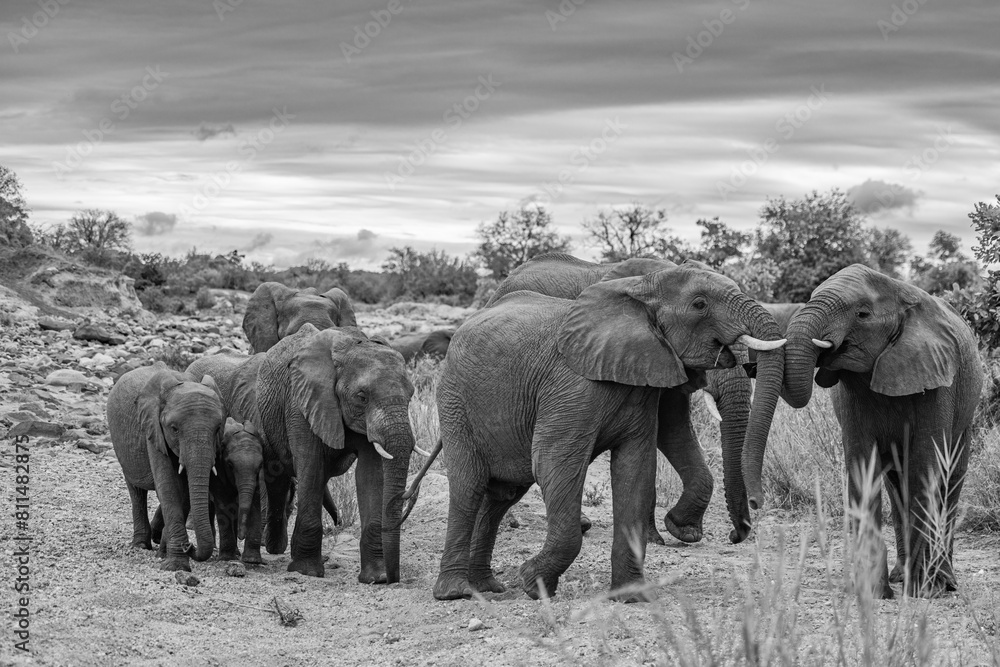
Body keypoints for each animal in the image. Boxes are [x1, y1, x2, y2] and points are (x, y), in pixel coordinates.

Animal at [108, 363, 227, 571]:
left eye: (218, 429)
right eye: (174, 429)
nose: (190, 546)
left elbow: (184, 491)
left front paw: (165, 554)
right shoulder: (152, 429)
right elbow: (168, 485)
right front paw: (177, 565)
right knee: (136, 491)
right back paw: (140, 545)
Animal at [253, 324, 418, 582]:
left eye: (411, 395)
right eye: (362, 397)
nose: (394, 578)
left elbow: (370, 475)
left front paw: (376, 577)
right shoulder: (301, 402)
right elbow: (311, 466)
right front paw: (306, 571)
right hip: (264, 415)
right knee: (278, 479)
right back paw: (274, 549)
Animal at [434, 264, 785, 601]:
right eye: (700, 304)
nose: (741, 528)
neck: (641, 285)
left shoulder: (645, 381)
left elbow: (636, 469)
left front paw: (631, 596)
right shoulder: (570, 386)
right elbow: (554, 463)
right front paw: (532, 584)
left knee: (502, 494)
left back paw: (486, 587)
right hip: (455, 401)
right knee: (468, 486)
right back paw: (455, 592)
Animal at [744, 264, 984, 598]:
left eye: (862, 314)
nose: (755, 503)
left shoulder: (938, 382)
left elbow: (926, 464)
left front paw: (924, 591)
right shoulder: (852, 393)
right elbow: (862, 465)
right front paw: (873, 592)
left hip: (966, 409)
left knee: (950, 478)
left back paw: (944, 582)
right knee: (897, 484)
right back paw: (900, 576)